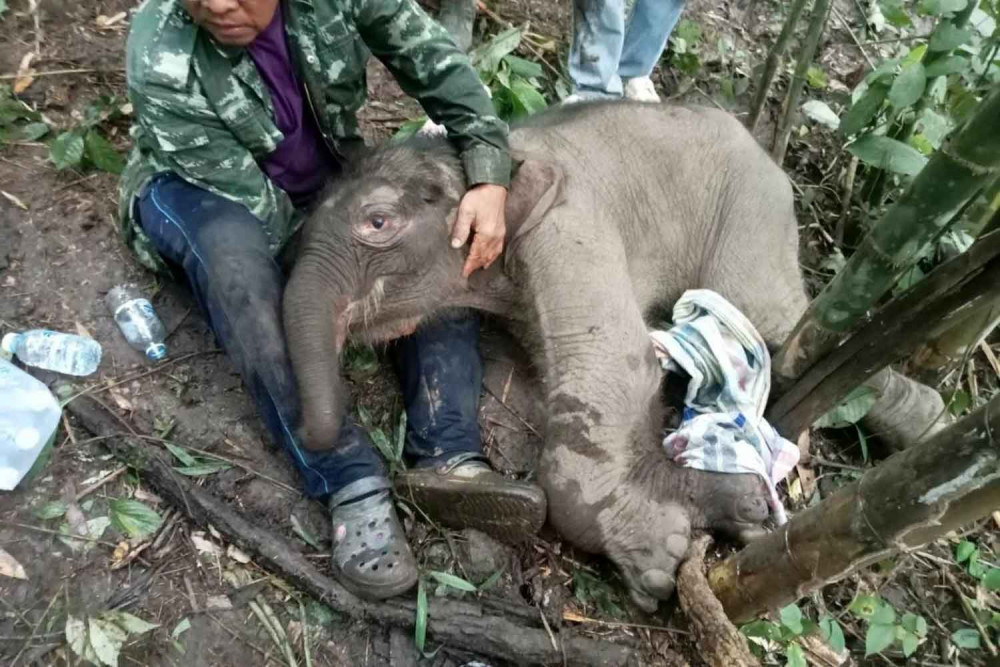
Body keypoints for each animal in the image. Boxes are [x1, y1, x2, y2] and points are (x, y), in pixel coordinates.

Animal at [282, 100, 811, 612]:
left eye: (377, 222)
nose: (306, 429)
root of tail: (766, 153)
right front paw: (718, 512)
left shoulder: (568, 226)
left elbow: (623, 362)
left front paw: (657, 562)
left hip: (753, 215)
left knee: (766, 315)